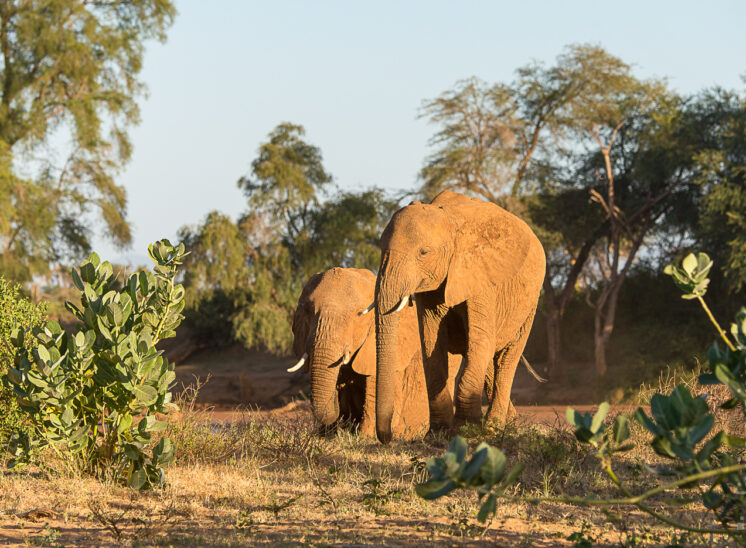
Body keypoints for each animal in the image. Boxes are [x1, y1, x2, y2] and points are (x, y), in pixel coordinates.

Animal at [374, 191, 544, 444]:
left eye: (424, 253)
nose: (389, 438)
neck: (449, 221)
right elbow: (431, 345)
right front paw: (438, 433)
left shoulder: (481, 276)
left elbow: (480, 339)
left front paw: (466, 432)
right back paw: (508, 424)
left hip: (530, 303)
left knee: (506, 358)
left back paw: (494, 427)